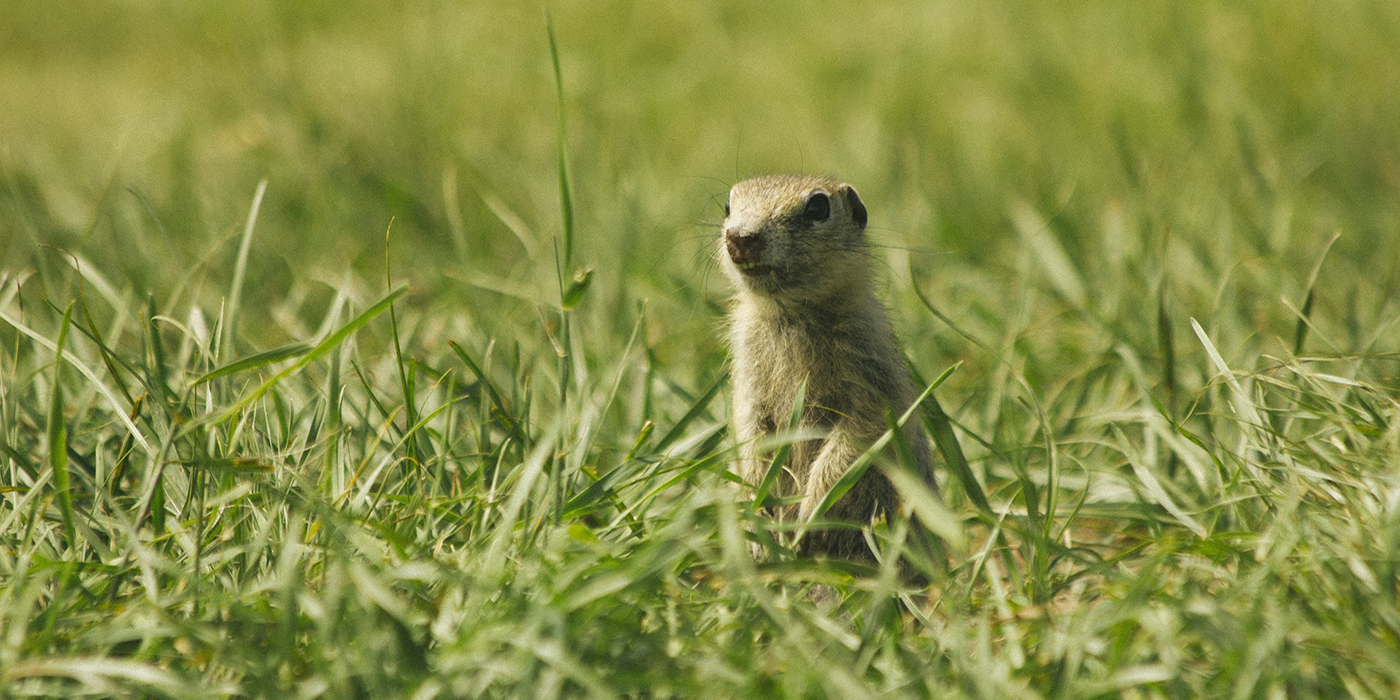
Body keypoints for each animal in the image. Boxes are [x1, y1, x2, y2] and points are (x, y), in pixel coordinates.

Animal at [716, 175, 935, 562]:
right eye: (728, 206)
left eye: (818, 208)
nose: (739, 236)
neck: (792, 314)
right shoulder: (747, 370)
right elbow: (747, 428)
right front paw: (756, 514)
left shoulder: (870, 368)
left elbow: (853, 441)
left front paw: (810, 515)